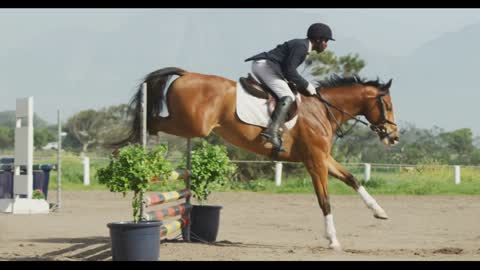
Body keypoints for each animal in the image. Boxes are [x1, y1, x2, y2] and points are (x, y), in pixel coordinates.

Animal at [118, 66, 400, 250]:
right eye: (387, 105)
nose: (394, 137)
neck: (323, 109)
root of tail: (187, 74)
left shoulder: (322, 158)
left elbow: (352, 179)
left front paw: (380, 211)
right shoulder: (315, 162)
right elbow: (325, 201)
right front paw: (333, 240)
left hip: (189, 125)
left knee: (155, 121)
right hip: (190, 125)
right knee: (152, 121)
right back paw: (142, 153)